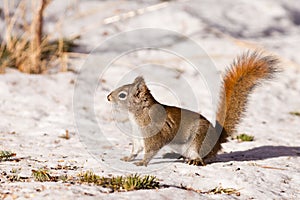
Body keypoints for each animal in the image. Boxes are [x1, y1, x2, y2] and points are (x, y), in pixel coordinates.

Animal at [107, 50, 278, 166]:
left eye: (122, 95)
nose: (108, 97)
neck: (138, 114)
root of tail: (217, 141)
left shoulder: (154, 133)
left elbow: (151, 150)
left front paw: (142, 163)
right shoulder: (138, 136)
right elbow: (136, 149)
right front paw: (128, 158)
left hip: (198, 139)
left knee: (201, 157)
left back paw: (195, 161)